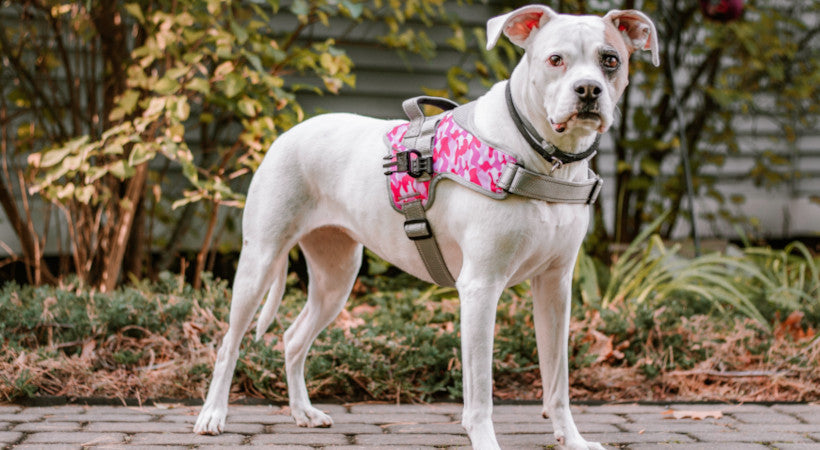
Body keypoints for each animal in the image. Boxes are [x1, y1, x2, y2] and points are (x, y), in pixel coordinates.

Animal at [194, 5, 660, 448]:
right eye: (555, 59)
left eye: (611, 60)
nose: (588, 90)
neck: (545, 159)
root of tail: (290, 131)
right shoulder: (480, 288)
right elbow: (480, 389)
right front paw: (485, 441)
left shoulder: (555, 288)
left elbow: (558, 382)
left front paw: (573, 439)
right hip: (259, 260)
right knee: (229, 343)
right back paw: (212, 416)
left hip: (336, 276)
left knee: (293, 339)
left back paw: (303, 413)